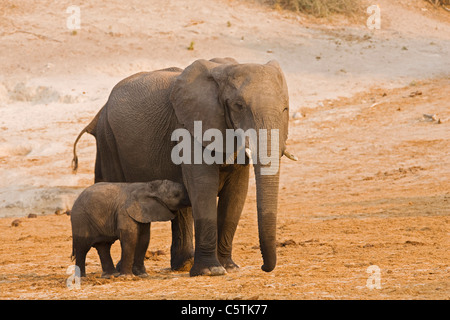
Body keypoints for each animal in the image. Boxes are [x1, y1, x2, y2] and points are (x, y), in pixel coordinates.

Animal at [72, 58, 298, 278]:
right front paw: (211, 271)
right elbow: (203, 186)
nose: (264, 267)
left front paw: (230, 267)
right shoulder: (190, 127)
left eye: (285, 109)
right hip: (108, 140)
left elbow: (236, 192)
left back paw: (183, 265)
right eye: (238, 105)